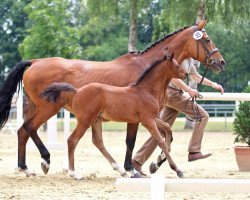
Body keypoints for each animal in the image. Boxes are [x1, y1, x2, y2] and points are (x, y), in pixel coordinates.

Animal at [40, 50, 187, 179]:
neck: (146, 91)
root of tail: (77, 91)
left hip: (96, 120)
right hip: (85, 120)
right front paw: (177, 170)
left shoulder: (151, 118)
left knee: (98, 141)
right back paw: (74, 173)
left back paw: (120, 170)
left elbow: (167, 128)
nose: (185, 74)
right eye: (176, 65)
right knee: (72, 140)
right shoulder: (148, 121)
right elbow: (160, 141)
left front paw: (159, 160)